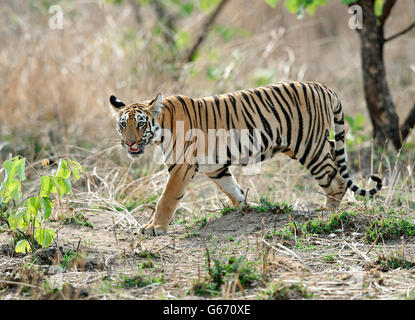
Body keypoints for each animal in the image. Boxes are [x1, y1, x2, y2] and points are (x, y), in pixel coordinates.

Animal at [109, 80, 382, 235]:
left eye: (141, 124)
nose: (129, 143)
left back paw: (327, 216)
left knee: (336, 180)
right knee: (336, 157)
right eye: (123, 125)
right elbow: (232, 189)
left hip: (309, 145)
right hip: (313, 144)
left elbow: (166, 199)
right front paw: (246, 209)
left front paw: (154, 228)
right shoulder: (215, 166)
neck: (161, 127)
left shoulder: (181, 167)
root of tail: (324, 87)